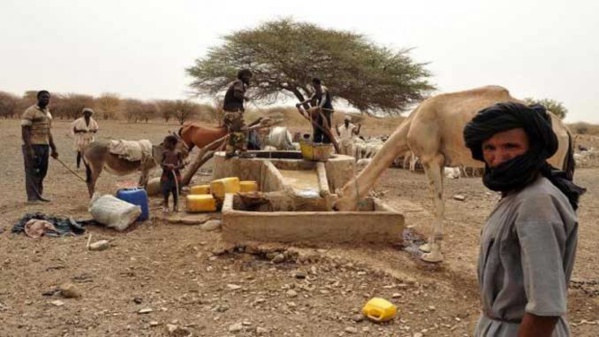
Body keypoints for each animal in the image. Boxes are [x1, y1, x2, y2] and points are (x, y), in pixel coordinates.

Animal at [336, 84, 576, 262]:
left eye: (338, 202)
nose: (335, 209)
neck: (411, 123)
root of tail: (565, 130)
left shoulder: (430, 157)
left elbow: (437, 202)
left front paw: (433, 255)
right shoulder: (441, 161)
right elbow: (436, 201)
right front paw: (427, 247)